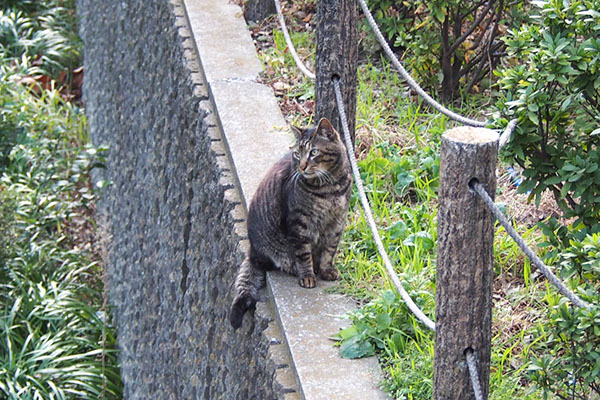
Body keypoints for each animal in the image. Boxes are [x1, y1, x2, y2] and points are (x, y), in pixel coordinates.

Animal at [229, 117, 352, 330]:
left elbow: (329, 250)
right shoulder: (299, 224)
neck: (330, 189)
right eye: (297, 153)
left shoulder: (337, 222)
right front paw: (308, 276)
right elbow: (303, 255)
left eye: (313, 152)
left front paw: (327, 270)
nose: (301, 167)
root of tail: (252, 252)